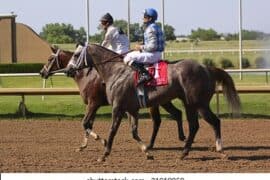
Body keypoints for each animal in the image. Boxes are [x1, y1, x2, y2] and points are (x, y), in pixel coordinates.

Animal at [40, 47, 186, 151]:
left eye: (49, 58)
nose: (42, 72)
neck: (86, 75)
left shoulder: (93, 103)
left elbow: (85, 123)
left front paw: (102, 140)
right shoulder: (94, 105)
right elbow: (88, 124)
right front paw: (83, 145)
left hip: (157, 102)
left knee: (158, 120)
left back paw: (159, 143)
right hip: (163, 100)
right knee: (176, 114)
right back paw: (175, 139)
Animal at [66, 44, 242, 162]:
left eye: (76, 55)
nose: (68, 70)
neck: (116, 71)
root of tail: (207, 68)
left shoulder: (117, 107)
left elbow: (112, 130)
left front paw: (104, 154)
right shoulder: (132, 109)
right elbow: (133, 132)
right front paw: (147, 152)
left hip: (199, 104)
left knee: (213, 122)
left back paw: (219, 150)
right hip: (190, 104)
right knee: (194, 125)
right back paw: (184, 152)